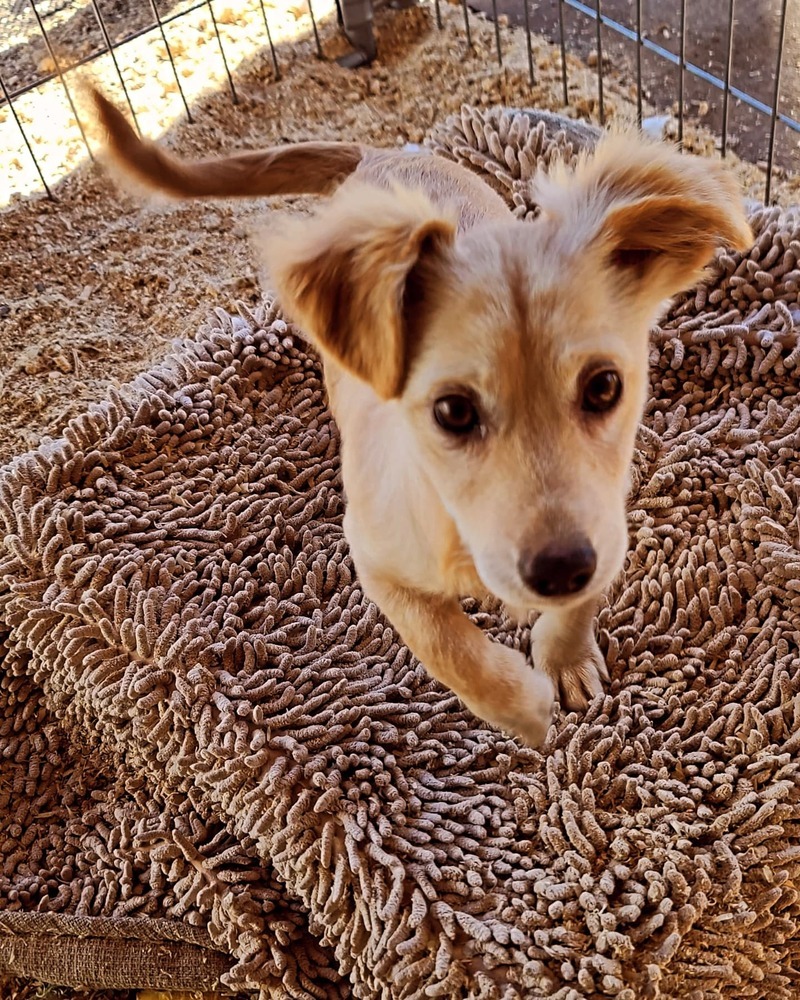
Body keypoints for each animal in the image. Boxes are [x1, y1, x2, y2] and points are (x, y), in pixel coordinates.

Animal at [92, 92, 752, 752]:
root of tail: (381, 153)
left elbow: (579, 601)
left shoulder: (605, 516)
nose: (562, 569)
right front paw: (521, 707)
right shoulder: (378, 560)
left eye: (604, 386)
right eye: (453, 411)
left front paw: (565, 659)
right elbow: (448, 646)